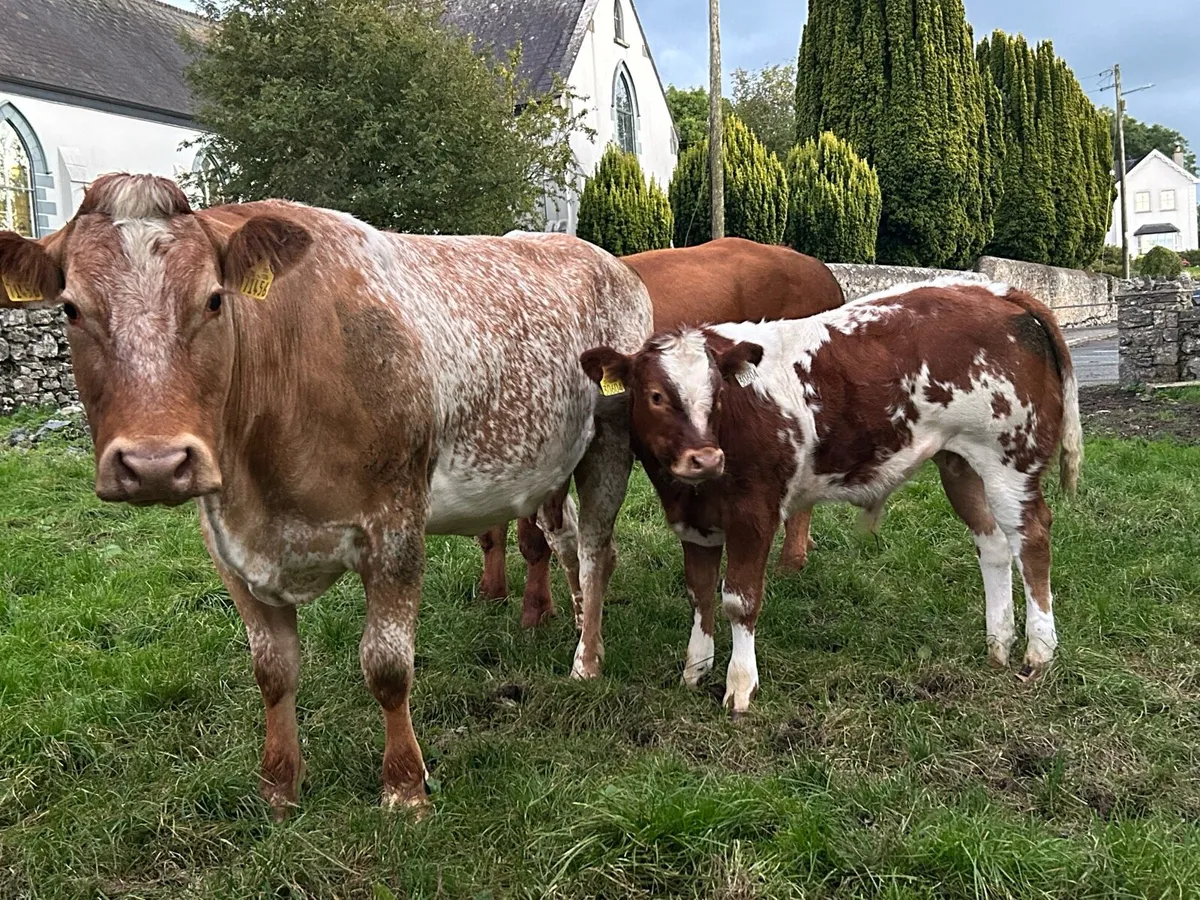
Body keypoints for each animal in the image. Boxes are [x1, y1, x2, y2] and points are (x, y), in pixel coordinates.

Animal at [0, 174, 652, 818]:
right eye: (70, 308)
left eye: (213, 300)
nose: (154, 464)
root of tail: (606, 259)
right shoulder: (227, 545)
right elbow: (273, 670)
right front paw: (279, 789)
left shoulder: (395, 527)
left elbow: (387, 665)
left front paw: (405, 787)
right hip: (551, 465)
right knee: (564, 543)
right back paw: (572, 619)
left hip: (610, 439)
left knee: (597, 551)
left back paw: (587, 660)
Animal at [477, 238, 846, 628]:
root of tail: (815, 267)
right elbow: (492, 531)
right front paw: (494, 589)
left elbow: (534, 539)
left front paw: (537, 610)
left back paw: (791, 560)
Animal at [580, 279, 1083, 718]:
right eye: (655, 396)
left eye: (718, 393)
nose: (705, 458)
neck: (691, 488)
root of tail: (995, 291)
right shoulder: (693, 520)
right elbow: (700, 593)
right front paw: (695, 669)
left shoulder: (754, 512)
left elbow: (739, 600)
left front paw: (740, 685)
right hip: (960, 462)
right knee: (993, 544)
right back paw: (998, 643)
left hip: (1010, 460)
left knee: (1032, 540)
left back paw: (1039, 652)